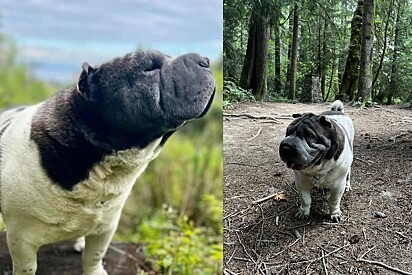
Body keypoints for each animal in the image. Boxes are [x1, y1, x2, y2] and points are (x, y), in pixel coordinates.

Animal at [0, 50, 216, 274]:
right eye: (149, 69)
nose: (205, 60)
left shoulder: (106, 225)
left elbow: (94, 255)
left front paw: (95, 270)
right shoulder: (21, 237)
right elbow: (27, 266)